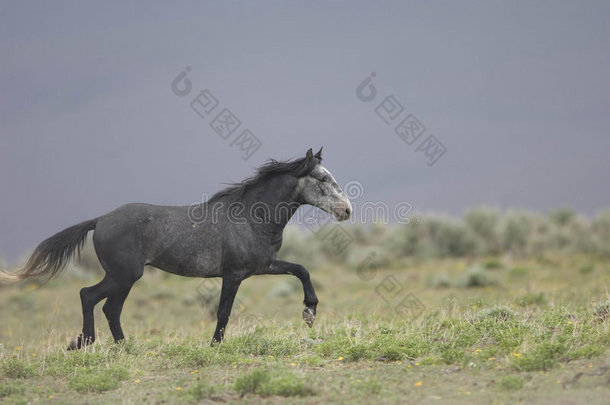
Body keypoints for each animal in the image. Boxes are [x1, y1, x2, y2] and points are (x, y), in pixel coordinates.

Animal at [0, 147, 352, 348]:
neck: (252, 216)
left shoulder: (262, 266)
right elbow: (223, 311)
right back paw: (88, 343)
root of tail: (100, 220)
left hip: (123, 278)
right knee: (91, 297)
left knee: (107, 307)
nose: (346, 210)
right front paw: (214, 346)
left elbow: (301, 269)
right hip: (124, 276)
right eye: (322, 178)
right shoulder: (234, 274)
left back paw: (120, 347)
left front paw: (309, 312)